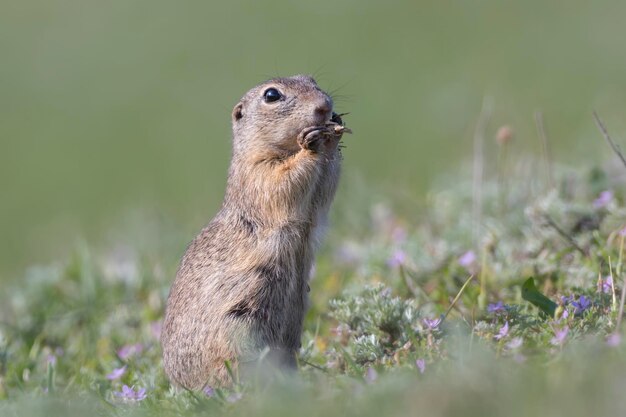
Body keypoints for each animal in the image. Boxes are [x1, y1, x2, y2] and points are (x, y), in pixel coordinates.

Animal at [158, 74, 348, 386]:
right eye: (271, 95)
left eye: (312, 80)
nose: (324, 106)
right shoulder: (257, 173)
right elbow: (281, 181)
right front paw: (312, 145)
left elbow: (324, 191)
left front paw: (334, 131)